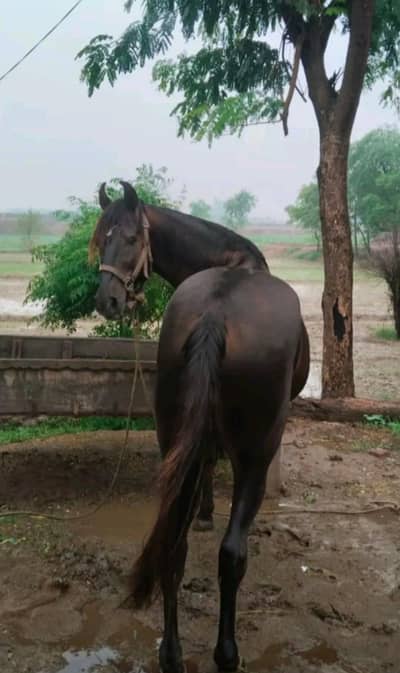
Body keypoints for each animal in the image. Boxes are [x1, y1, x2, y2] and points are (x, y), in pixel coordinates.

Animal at [90, 181, 310, 673]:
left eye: (130, 237)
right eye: (103, 238)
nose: (107, 300)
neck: (232, 260)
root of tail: (215, 314)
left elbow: (203, 467)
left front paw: (204, 513)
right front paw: (210, 514)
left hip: (171, 431)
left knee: (174, 546)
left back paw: (171, 654)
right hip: (256, 455)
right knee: (232, 555)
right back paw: (226, 653)